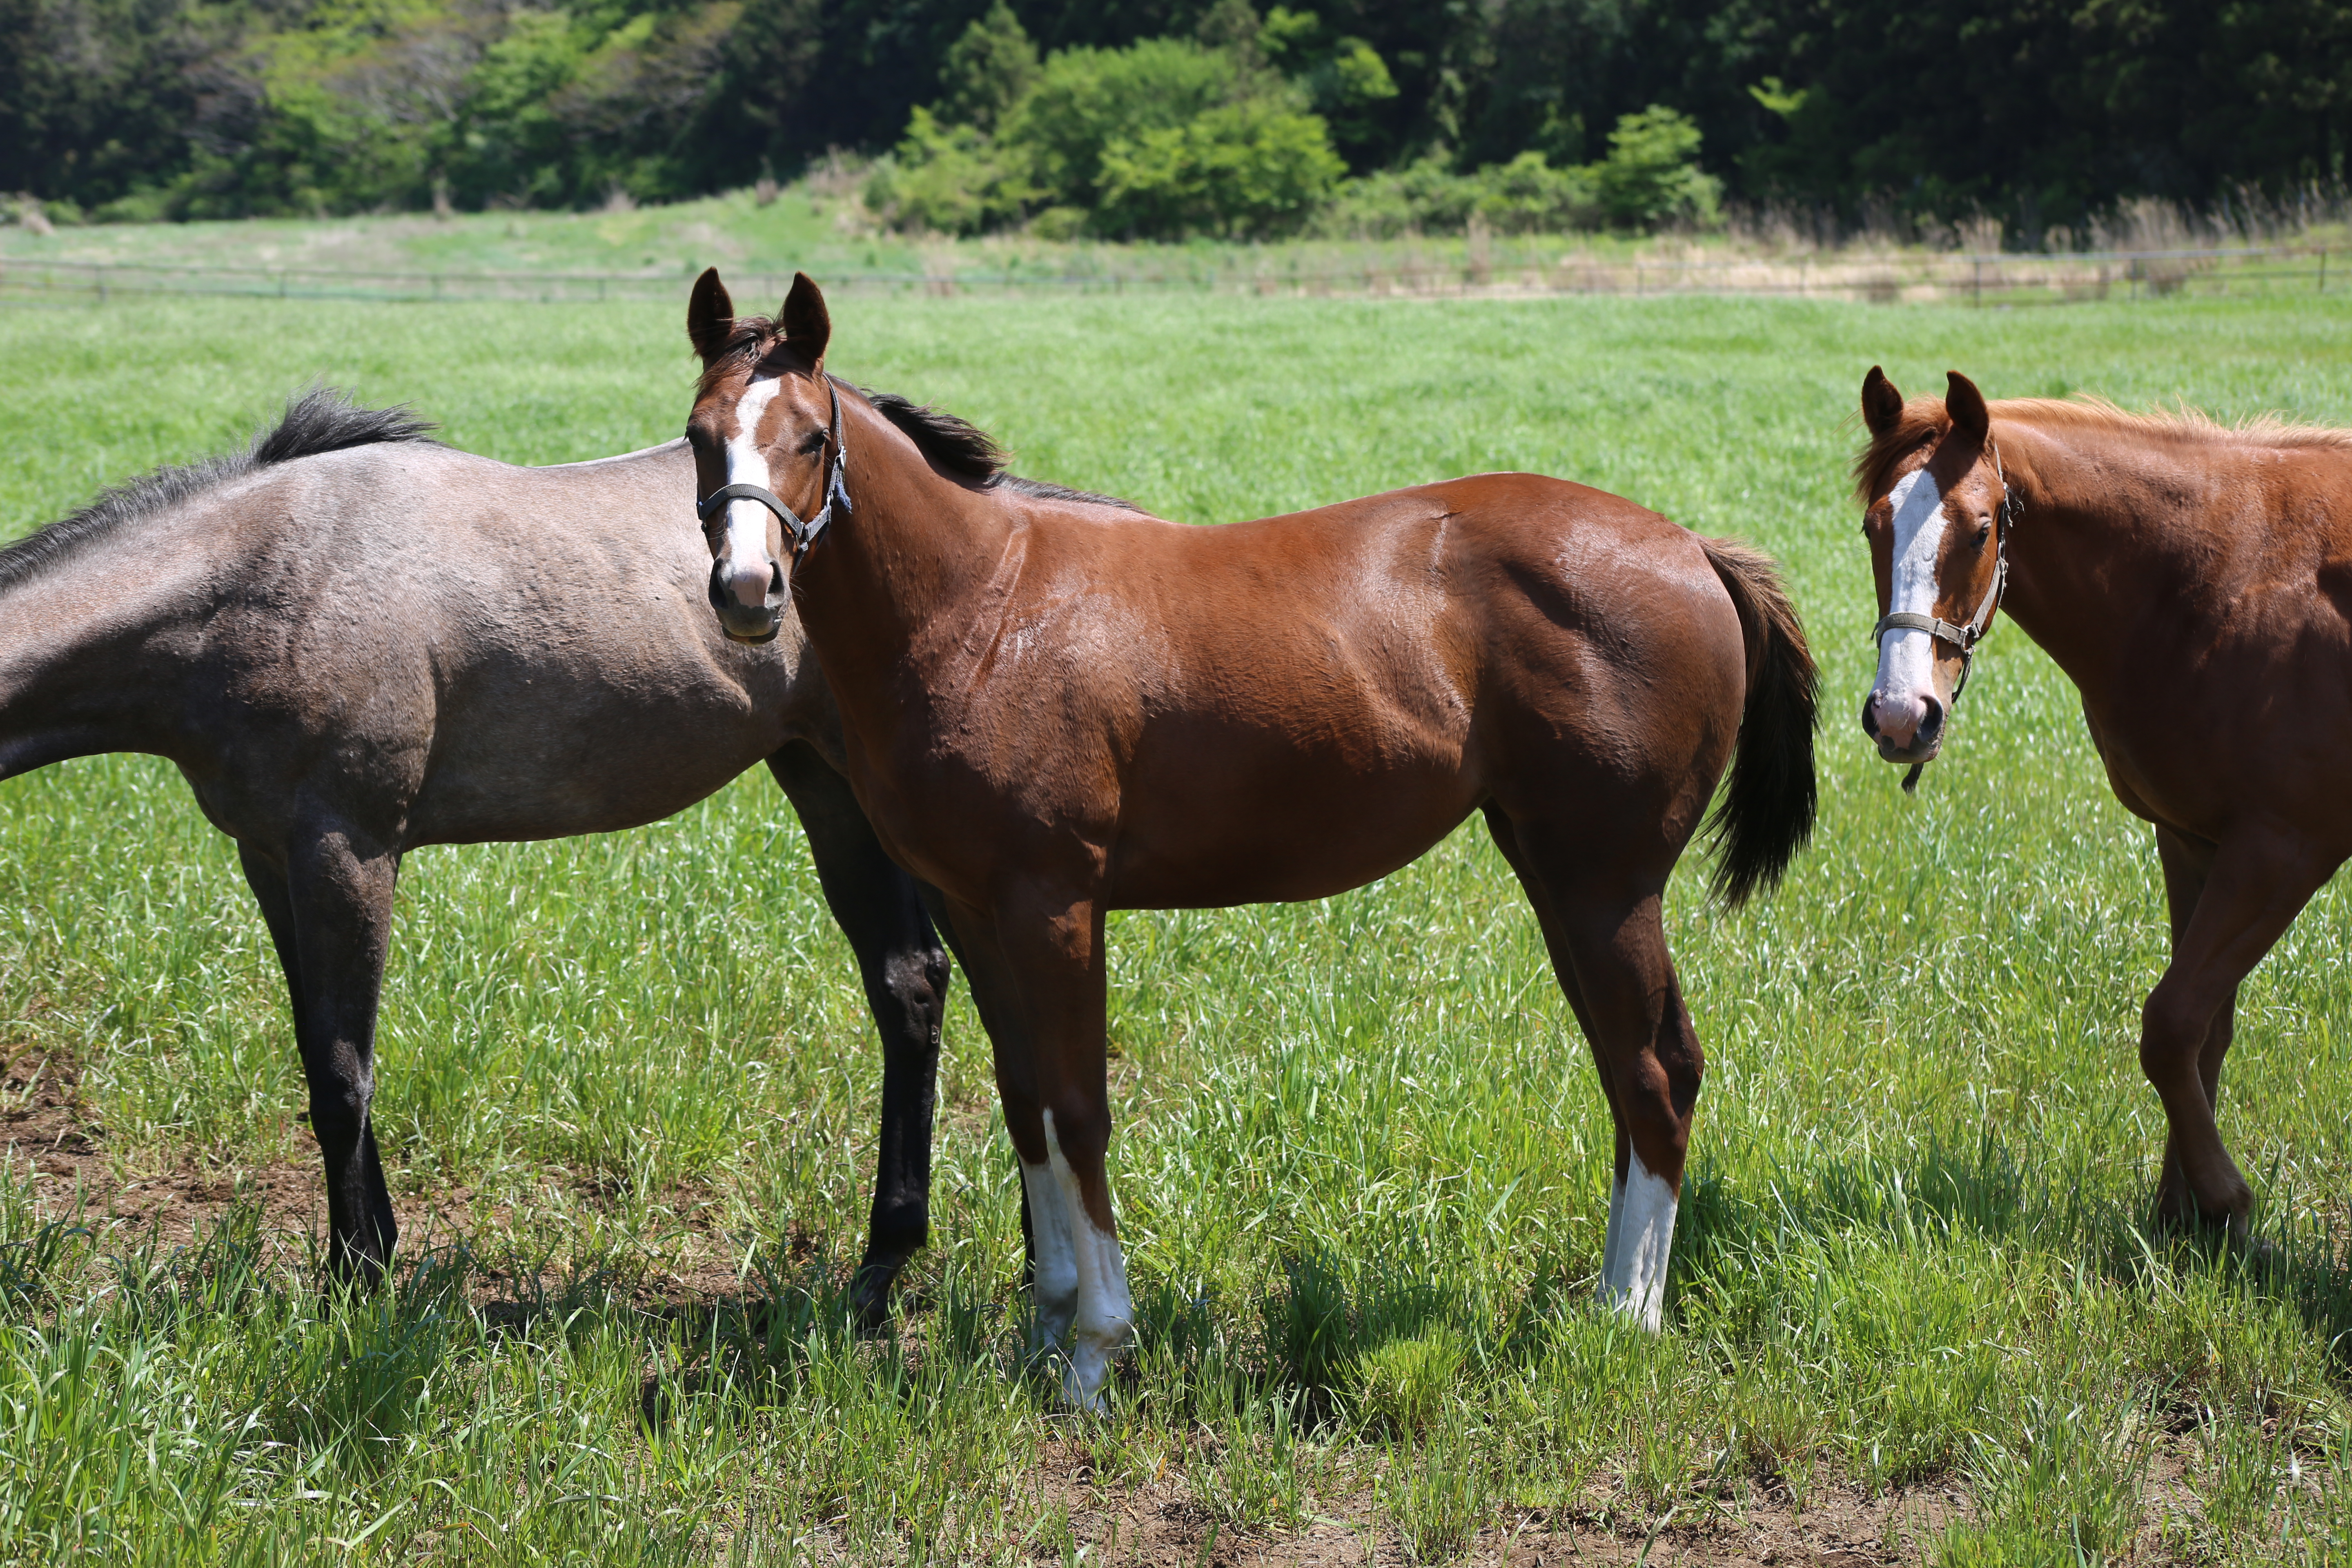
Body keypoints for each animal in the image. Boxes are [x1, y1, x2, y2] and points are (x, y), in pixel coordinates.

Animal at [2, 385, 955, 1316]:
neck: (259, 582)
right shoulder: (269, 859)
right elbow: (320, 1054)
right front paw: (371, 1255)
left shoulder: (346, 852)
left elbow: (342, 1078)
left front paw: (355, 1287)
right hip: (827, 785)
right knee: (911, 983)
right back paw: (890, 1266)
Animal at [682, 272, 1815, 1410]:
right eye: (698, 437)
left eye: (810, 437)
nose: (746, 592)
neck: (986, 612)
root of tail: (1692, 549)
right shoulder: (975, 909)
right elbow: (1022, 1103)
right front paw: (1046, 1328)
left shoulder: (1055, 905)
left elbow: (1078, 1109)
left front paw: (1095, 1351)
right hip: (1558, 878)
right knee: (1630, 1069)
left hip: (1605, 888)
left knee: (1653, 1072)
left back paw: (1625, 1318)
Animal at [1862, 369, 2352, 1241]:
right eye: (1870, 528)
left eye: (1981, 529)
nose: (1898, 715)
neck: (2224, 578)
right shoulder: (2194, 840)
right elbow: (2202, 1030)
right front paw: (2183, 1217)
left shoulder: (2283, 851)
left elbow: (2170, 1023)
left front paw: (2224, 1198)